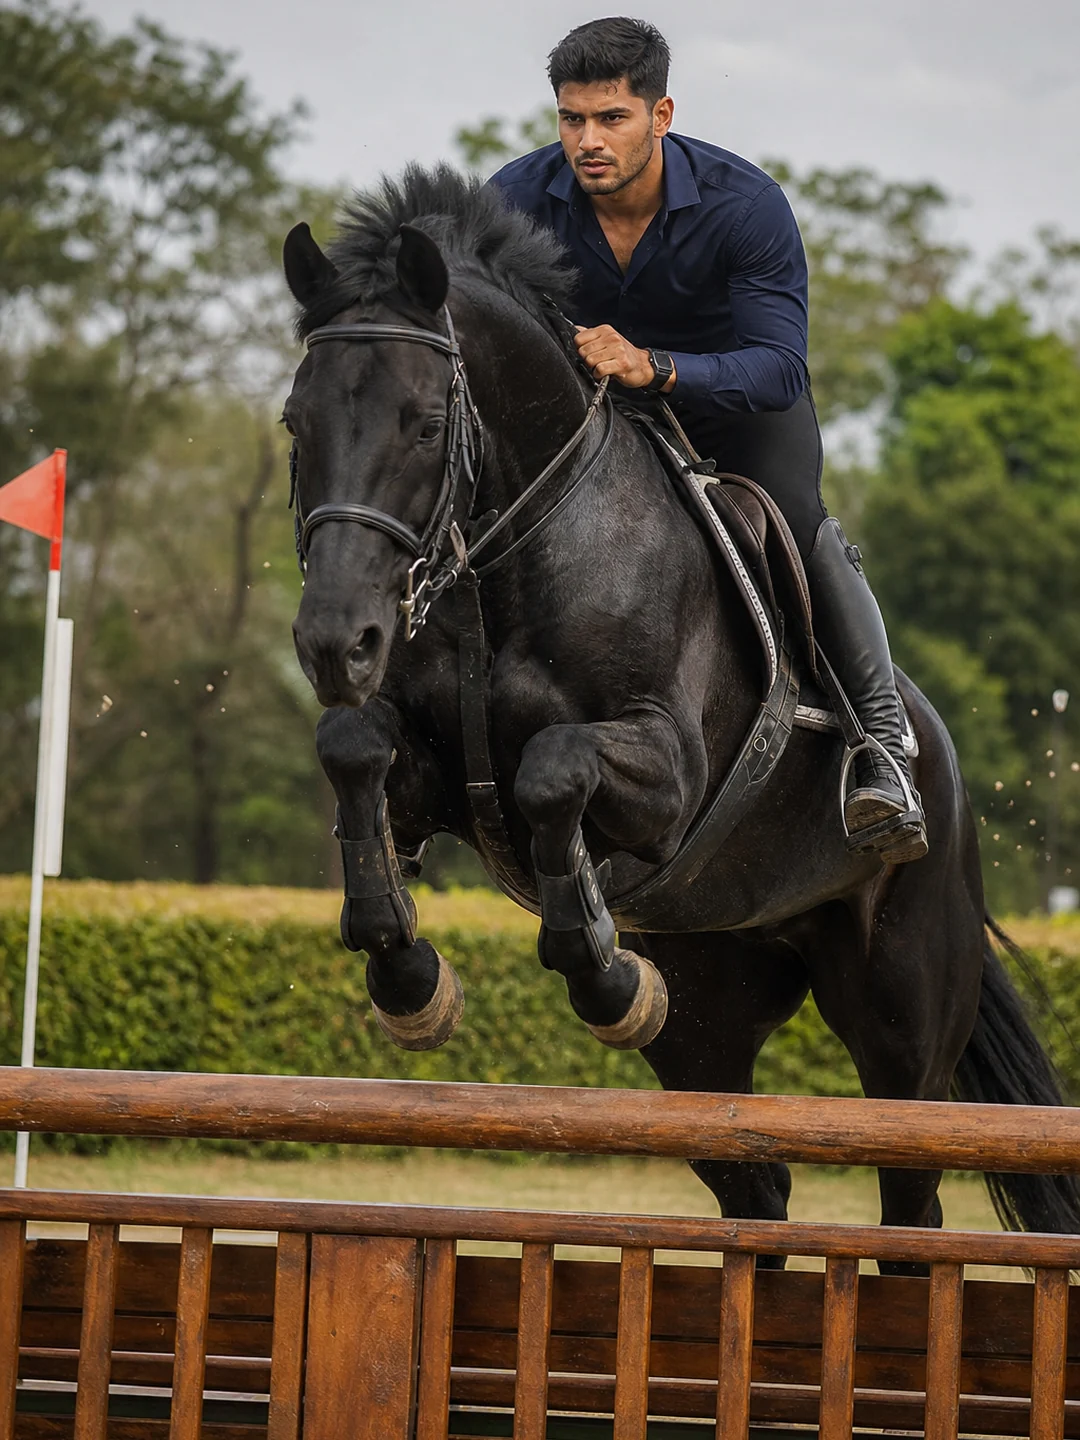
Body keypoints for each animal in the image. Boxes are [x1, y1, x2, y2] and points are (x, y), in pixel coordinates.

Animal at [281, 165, 1079, 1267]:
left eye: (425, 425)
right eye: (295, 424)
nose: (336, 642)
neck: (509, 557)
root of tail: (948, 779)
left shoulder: (667, 778)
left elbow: (553, 771)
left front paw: (604, 975)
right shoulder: (429, 766)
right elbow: (353, 748)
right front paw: (408, 975)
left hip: (903, 1015)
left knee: (909, 1207)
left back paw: (879, 785)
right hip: (708, 1013)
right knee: (755, 1184)